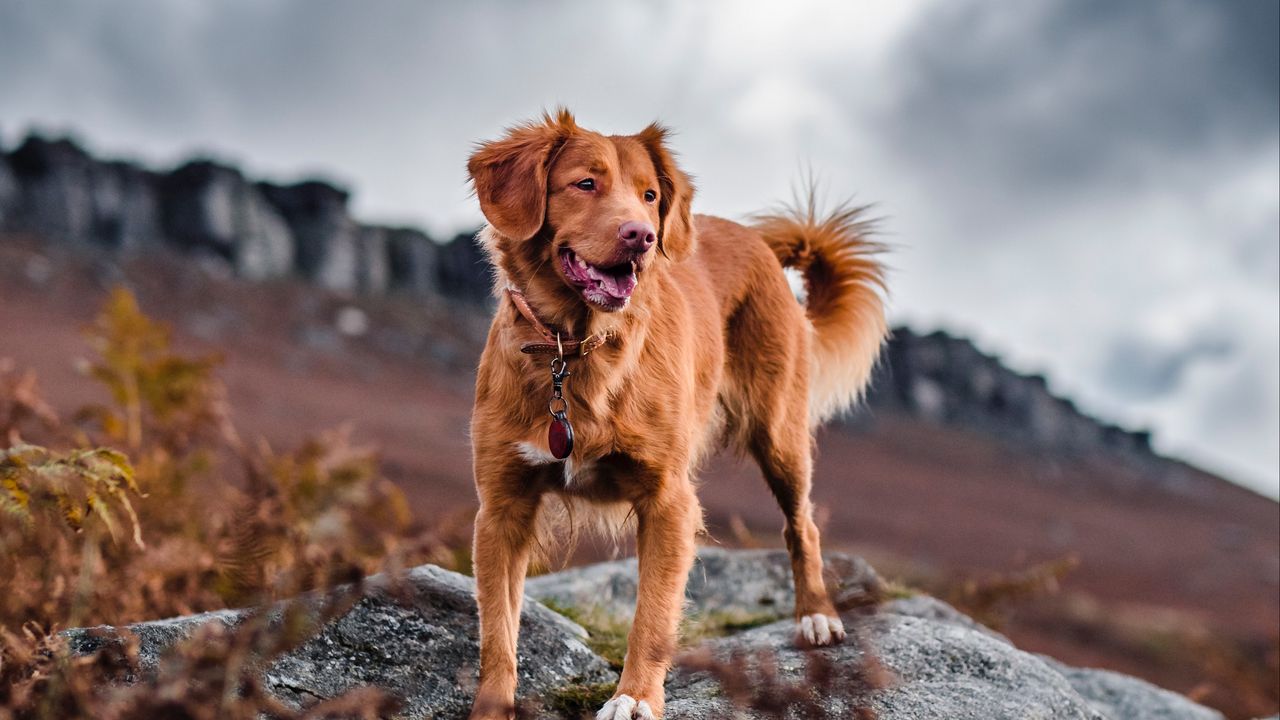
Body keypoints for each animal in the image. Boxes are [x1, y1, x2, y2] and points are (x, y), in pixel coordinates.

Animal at [465, 109, 885, 712]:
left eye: (649, 195)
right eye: (584, 183)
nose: (641, 236)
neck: (576, 347)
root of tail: (754, 239)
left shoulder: (669, 500)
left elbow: (653, 614)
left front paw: (636, 698)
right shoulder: (501, 508)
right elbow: (498, 631)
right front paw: (491, 708)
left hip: (779, 432)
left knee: (801, 524)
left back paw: (816, 616)